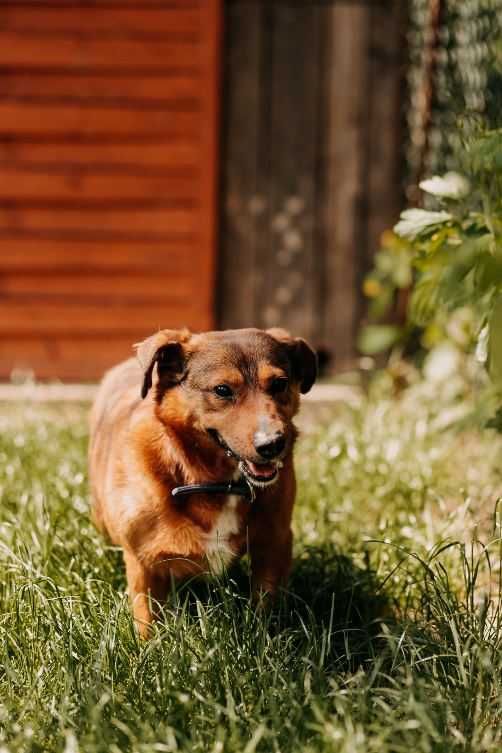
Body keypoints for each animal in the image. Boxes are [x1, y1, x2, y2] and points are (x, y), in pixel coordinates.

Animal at [89, 328, 318, 636]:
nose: (272, 444)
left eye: (279, 384)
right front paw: (148, 648)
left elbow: (264, 608)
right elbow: (147, 621)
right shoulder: (143, 564)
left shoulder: (274, 544)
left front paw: (264, 638)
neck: (218, 482)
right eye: (222, 390)